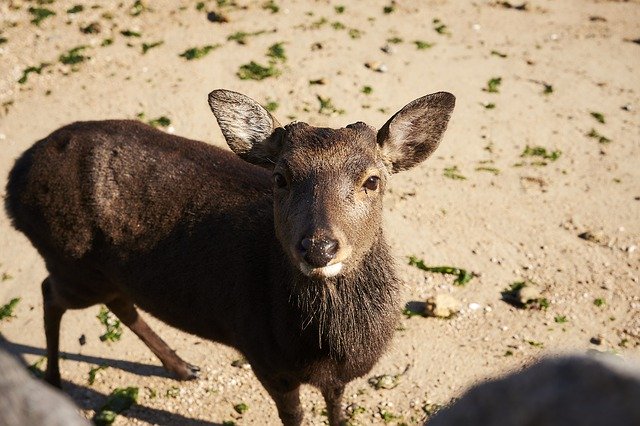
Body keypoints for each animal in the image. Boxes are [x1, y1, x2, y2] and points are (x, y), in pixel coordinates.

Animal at [5, 88, 456, 424]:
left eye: (372, 180)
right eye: (280, 177)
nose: (319, 247)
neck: (330, 347)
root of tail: (14, 182)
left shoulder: (339, 374)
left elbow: (337, 409)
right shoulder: (262, 356)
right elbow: (293, 416)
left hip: (100, 273)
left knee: (119, 302)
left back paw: (182, 367)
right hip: (71, 264)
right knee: (49, 293)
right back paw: (54, 383)